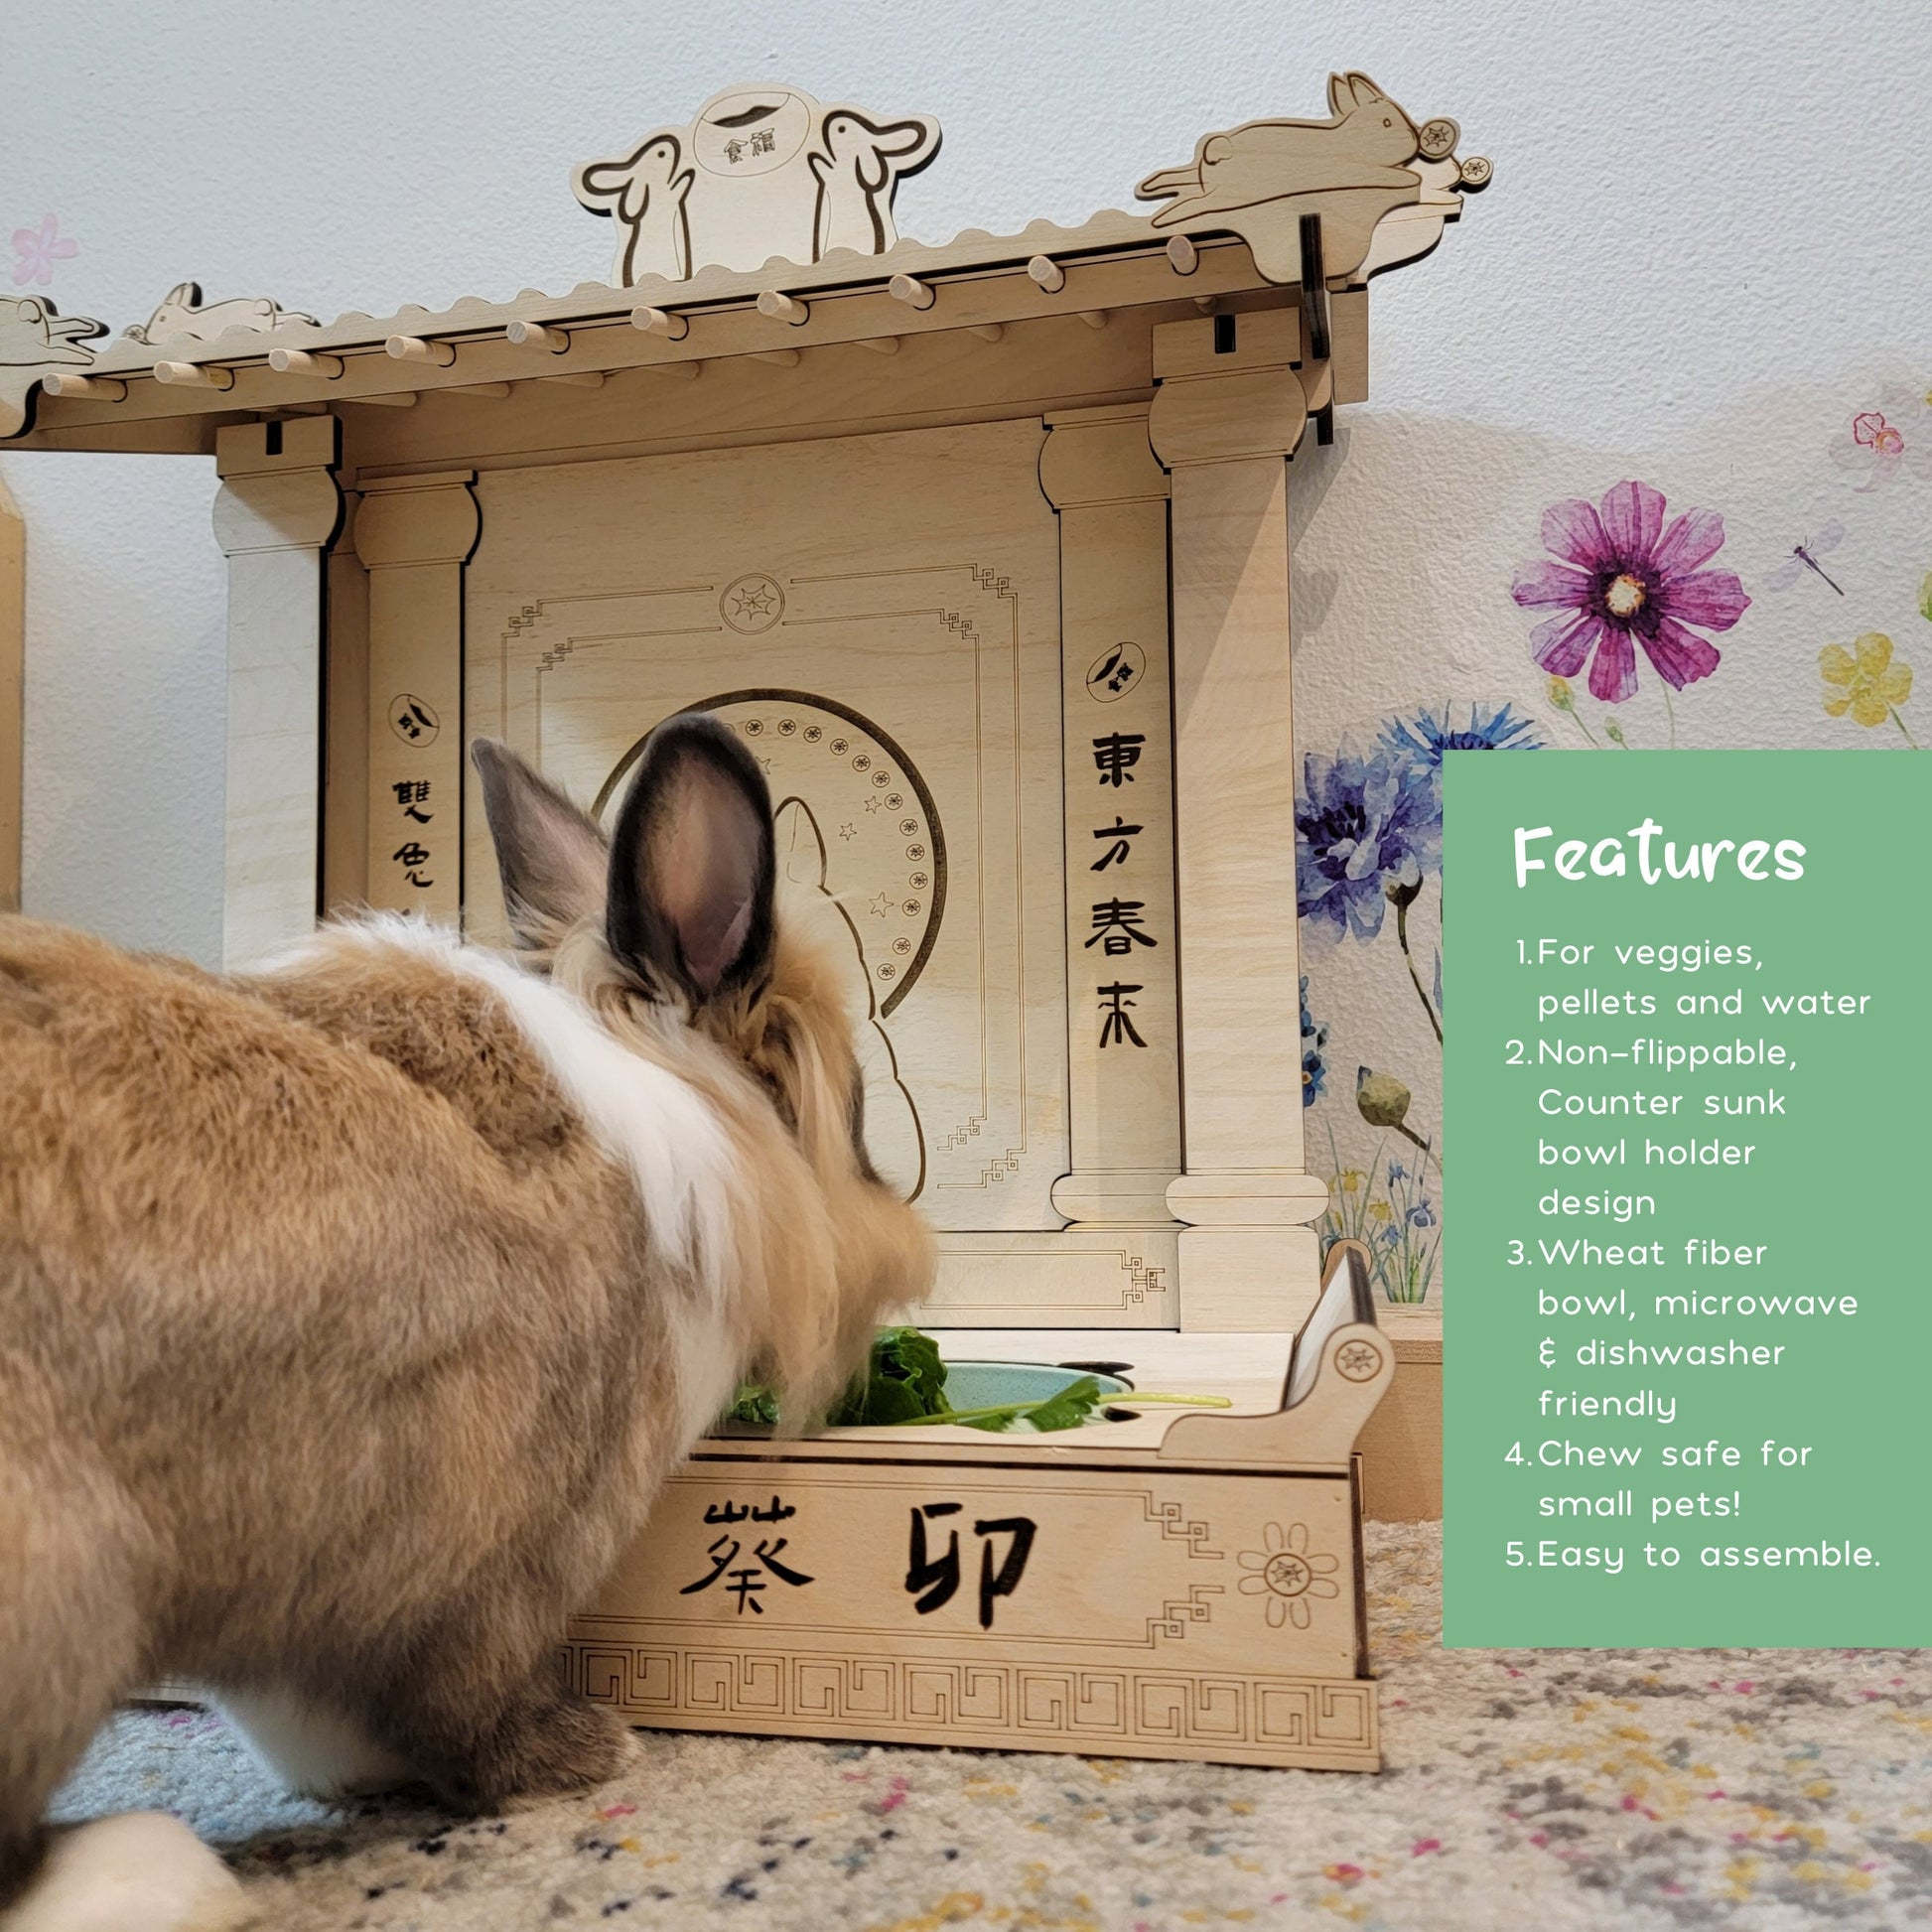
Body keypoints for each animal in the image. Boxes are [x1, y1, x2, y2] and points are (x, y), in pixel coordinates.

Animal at [0, 712, 935, 1927]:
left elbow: (293, 1705)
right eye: (856, 1120)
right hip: (70, 1585)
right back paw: (158, 1870)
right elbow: (456, 1691)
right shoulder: (502, 1545)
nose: (912, 1248)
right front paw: (586, 1754)